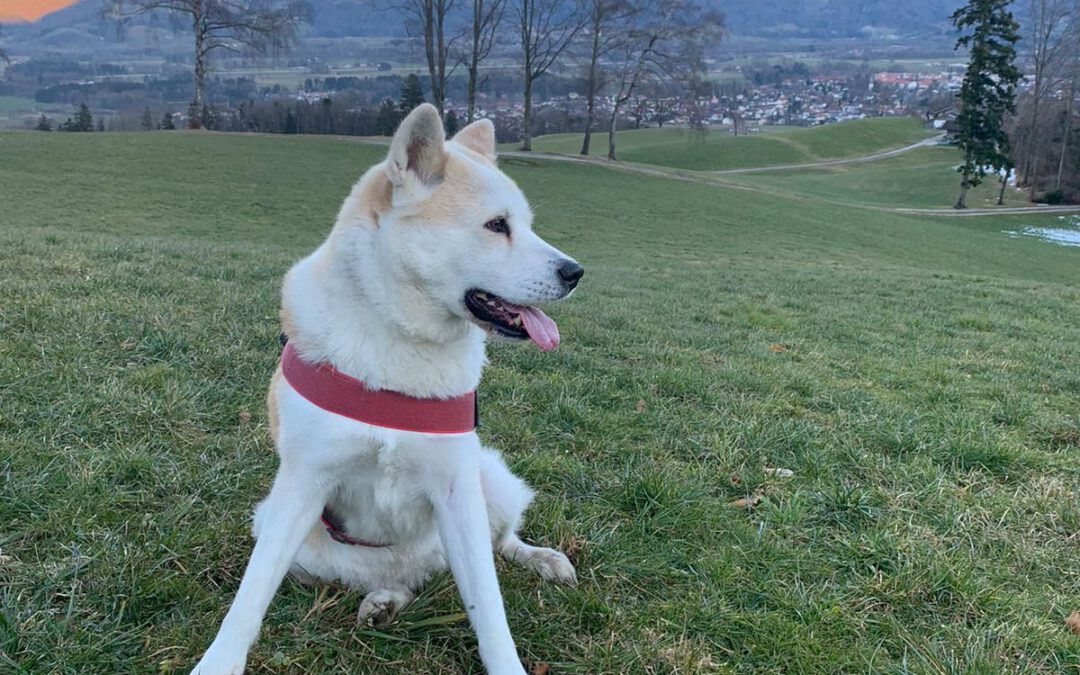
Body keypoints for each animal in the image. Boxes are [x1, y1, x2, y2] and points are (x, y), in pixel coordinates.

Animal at [190, 101, 587, 673]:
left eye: (526, 225)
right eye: (497, 225)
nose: (575, 272)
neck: (401, 337)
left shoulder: (458, 493)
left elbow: (489, 609)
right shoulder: (300, 485)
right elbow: (251, 594)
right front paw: (219, 661)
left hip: (489, 480)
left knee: (500, 542)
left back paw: (541, 559)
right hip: (281, 527)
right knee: (400, 582)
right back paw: (384, 602)